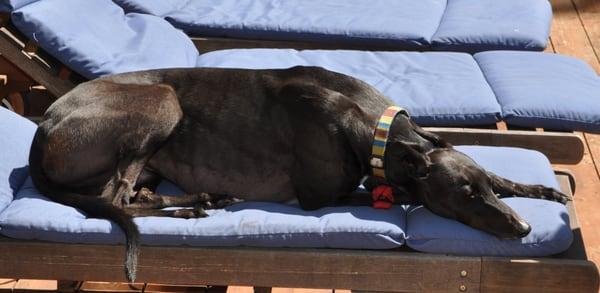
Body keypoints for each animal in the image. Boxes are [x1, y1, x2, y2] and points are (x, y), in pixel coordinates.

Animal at [29, 66, 572, 280]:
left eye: (479, 188)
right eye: (464, 196)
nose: (523, 229)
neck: (374, 124)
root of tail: (44, 125)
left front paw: (540, 189)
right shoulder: (320, 196)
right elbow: (398, 193)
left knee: (132, 197)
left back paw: (200, 202)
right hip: (162, 101)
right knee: (118, 199)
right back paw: (192, 207)